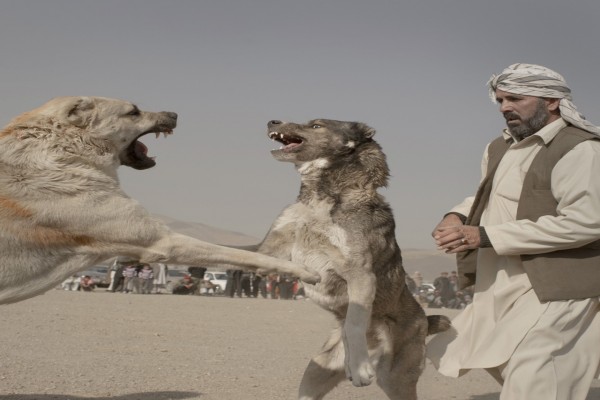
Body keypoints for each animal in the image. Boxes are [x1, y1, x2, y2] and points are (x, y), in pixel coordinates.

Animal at [0, 97, 318, 304]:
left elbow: (244, 251)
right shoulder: (161, 240)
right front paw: (304, 271)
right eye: (133, 111)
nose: (174, 113)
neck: (64, 149)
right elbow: (245, 255)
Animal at [258, 119, 450, 400]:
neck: (323, 197)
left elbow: (356, 322)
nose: (272, 121)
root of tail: (425, 320)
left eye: (316, 125)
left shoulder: (360, 274)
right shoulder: (271, 248)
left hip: (396, 379)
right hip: (315, 372)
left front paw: (359, 368)